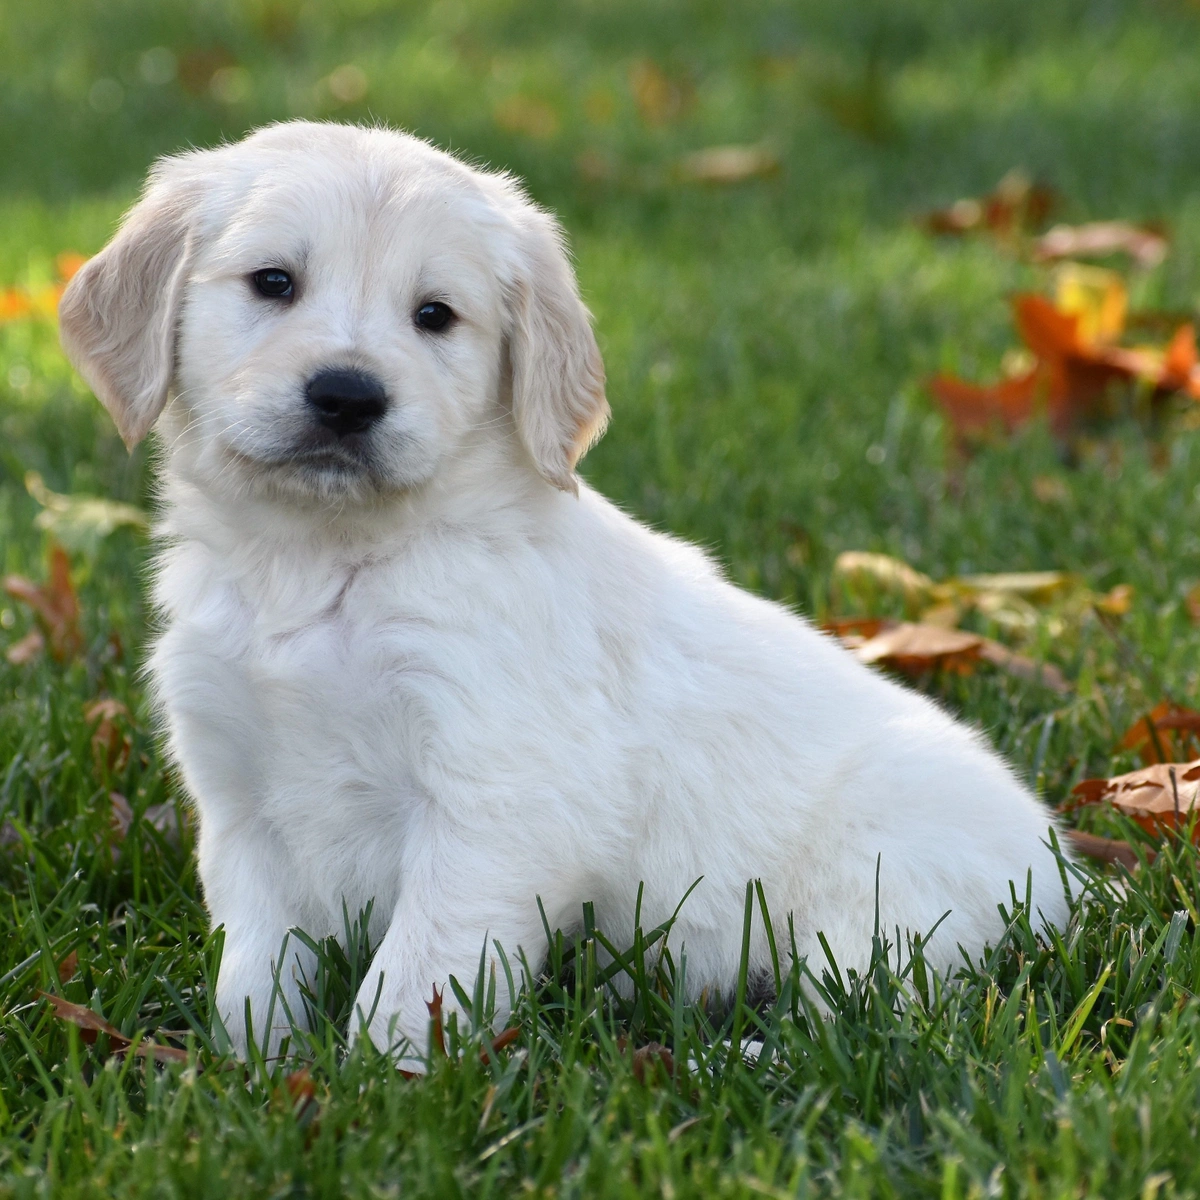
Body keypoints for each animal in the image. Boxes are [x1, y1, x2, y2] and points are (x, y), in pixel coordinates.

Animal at [56, 119, 1070, 1060]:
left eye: (435, 315)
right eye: (273, 283)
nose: (347, 396)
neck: (322, 558)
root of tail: (1069, 876)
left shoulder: (497, 801)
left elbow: (415, 971)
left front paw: (378, 1085)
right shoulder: (241, 797)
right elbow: (257, 968)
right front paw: (250, 1070)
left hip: (879, 896)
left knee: (855, 1020)